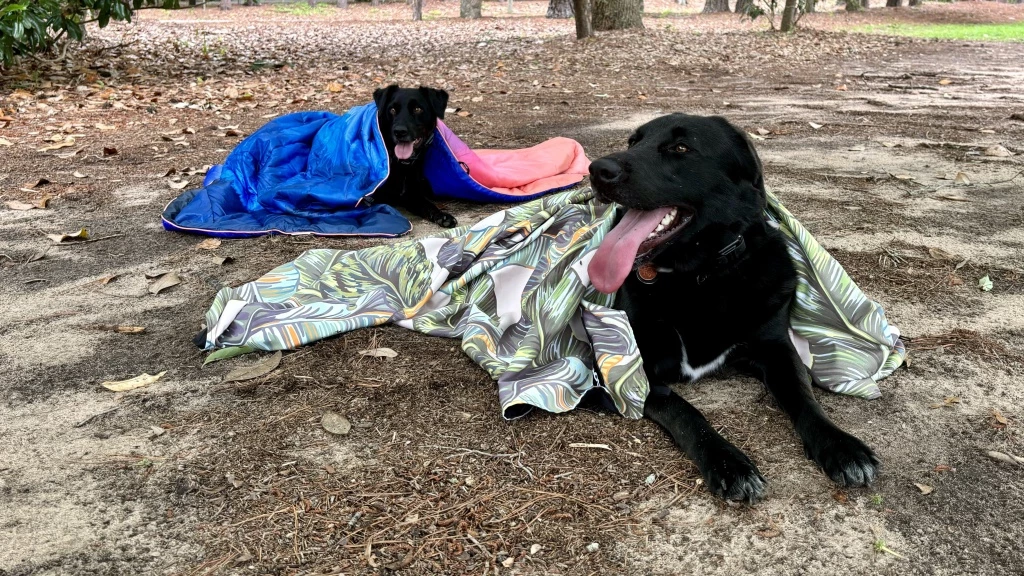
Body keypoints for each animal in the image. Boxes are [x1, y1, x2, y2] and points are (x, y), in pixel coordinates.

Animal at [368, 84, 456, 227]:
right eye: (392, 110)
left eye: (417, 109)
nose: (399, 132)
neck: (401, 165)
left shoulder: (412, 194)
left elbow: (427, 204)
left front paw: (442, 215)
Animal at [589, 114, 884, 500]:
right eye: (632, 142)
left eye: (681, 147)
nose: (596, 169)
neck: (700, 277)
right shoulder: (622, 370)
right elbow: (685, 411)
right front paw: (728, 462)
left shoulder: (777, 349)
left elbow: (804, 397)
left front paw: (840, 445)